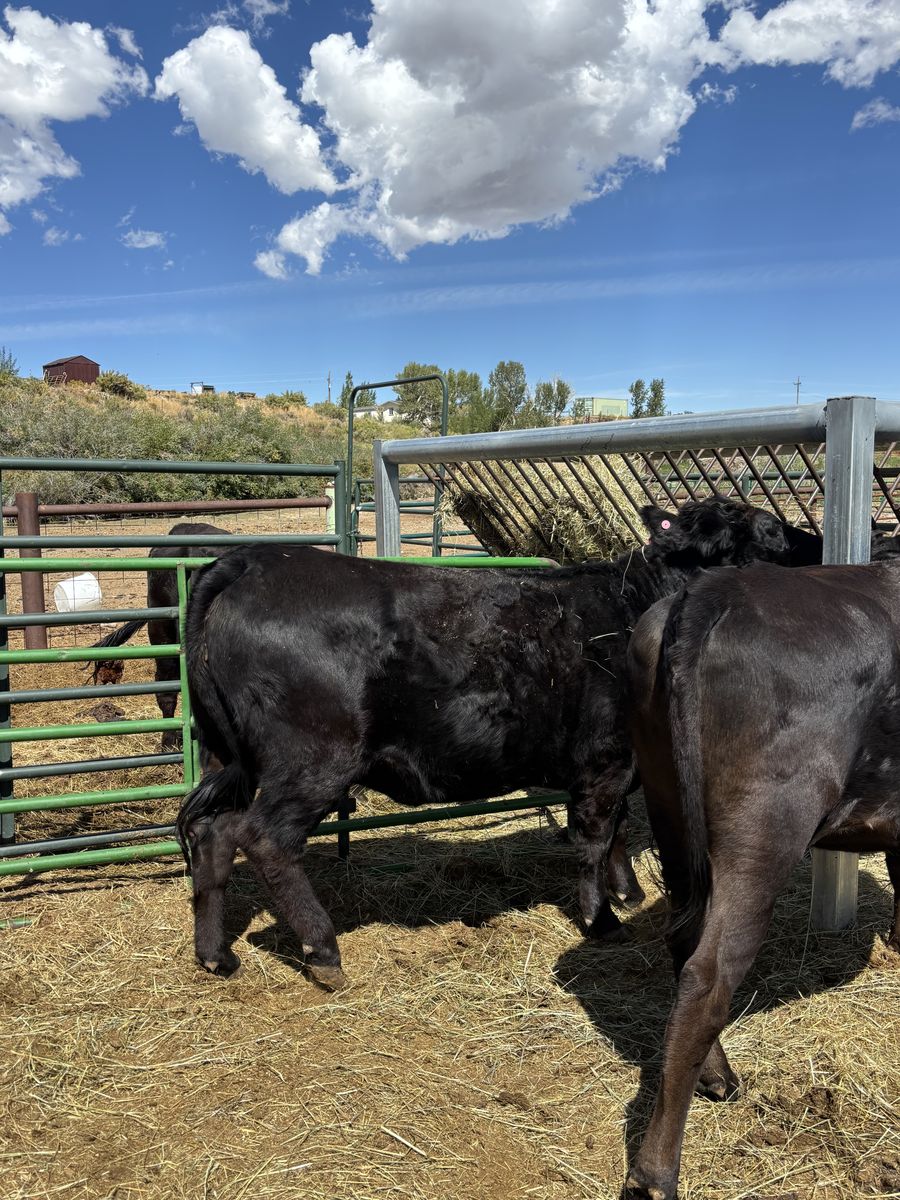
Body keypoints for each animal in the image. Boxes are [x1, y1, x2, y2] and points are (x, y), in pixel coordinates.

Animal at [173, 496, 823, 986]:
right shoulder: (606, 762)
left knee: (210, 832)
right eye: (770, 528)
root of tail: (252, 560)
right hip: (313, 760)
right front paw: (601, 919)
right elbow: (592, 840)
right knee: (263, 838)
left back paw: (215, 954)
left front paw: (628, 894)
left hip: (229, 756)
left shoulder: (619, 767)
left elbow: (615, 832)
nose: (817, 544)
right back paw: (323, 951)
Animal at [624, 559, 900, 1200]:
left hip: (668, 804)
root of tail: (721, 585)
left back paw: (717, 1077)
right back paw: (656, 1173)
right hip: (768, 818)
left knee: (684, 940)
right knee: (708, 973)